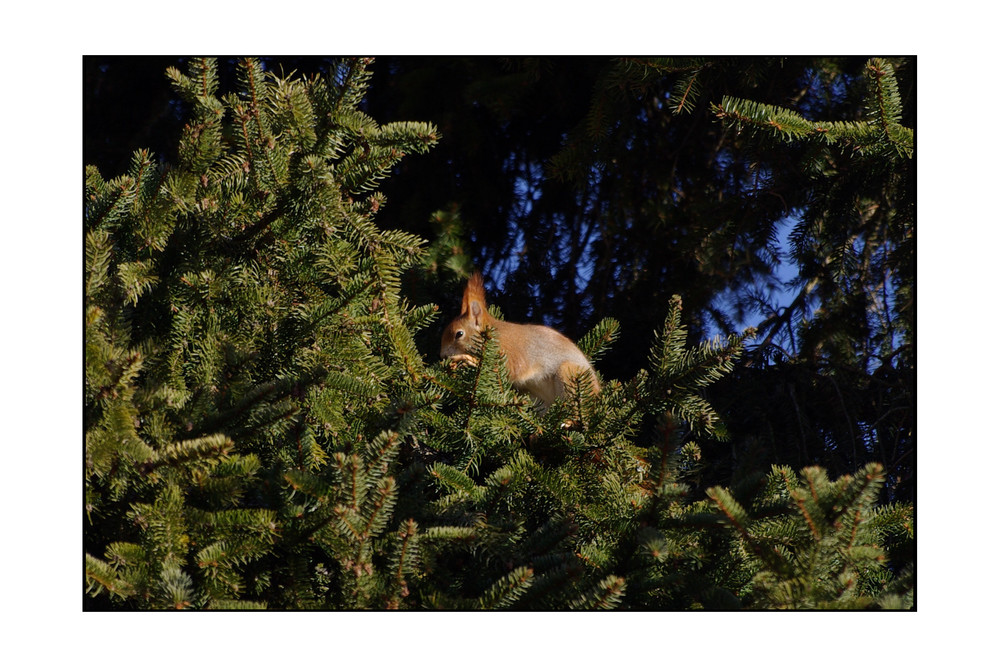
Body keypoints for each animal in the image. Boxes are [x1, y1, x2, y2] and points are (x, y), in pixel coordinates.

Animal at [440, 272, 596, 408]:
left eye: (459, 334)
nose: (442, 355)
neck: (493, 336)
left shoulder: (512, 351)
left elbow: (508, 369)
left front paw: (468, 359)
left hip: (570, 375)